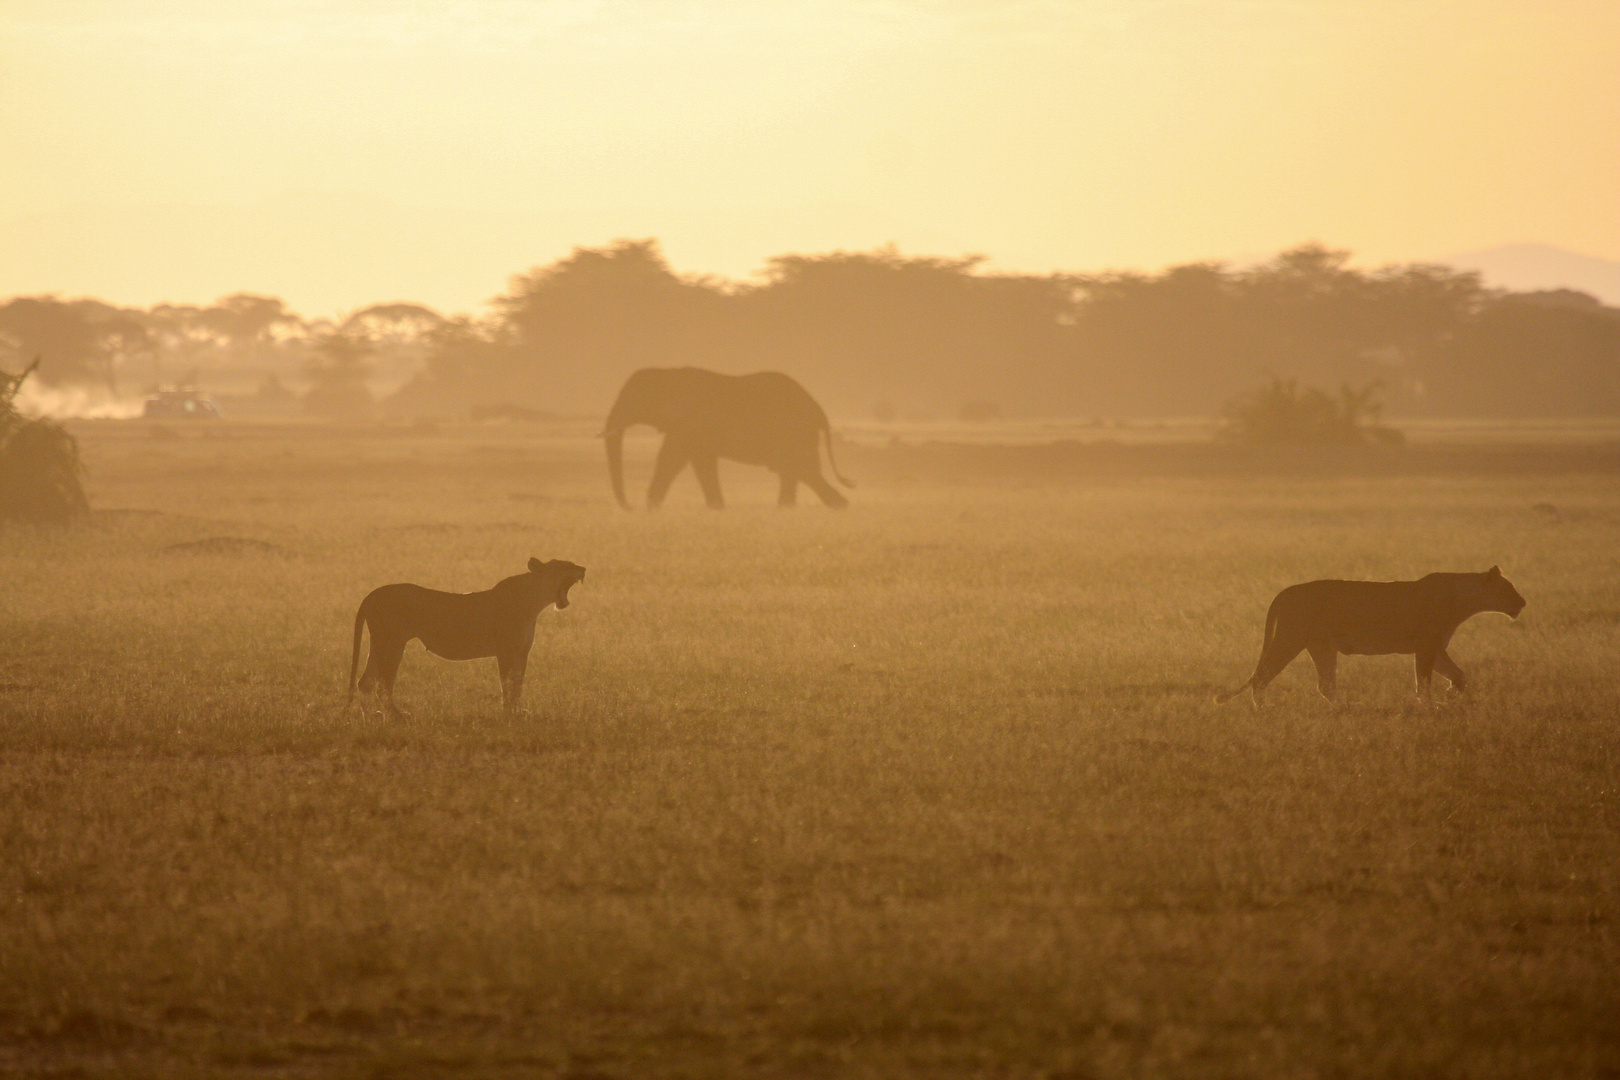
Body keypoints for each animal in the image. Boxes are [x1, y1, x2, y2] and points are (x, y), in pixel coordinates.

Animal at [602, 367, 855, 511]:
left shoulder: (689, 422)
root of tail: (819, 413)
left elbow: (673, 458)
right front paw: (717, 508)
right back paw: (793, 508)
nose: (629, 507)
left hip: (794, 432)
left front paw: (651, 508)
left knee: (801, 469)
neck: (667, 372)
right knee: (795, 470)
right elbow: (699, 461)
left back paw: (837, 506)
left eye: (633, 397)